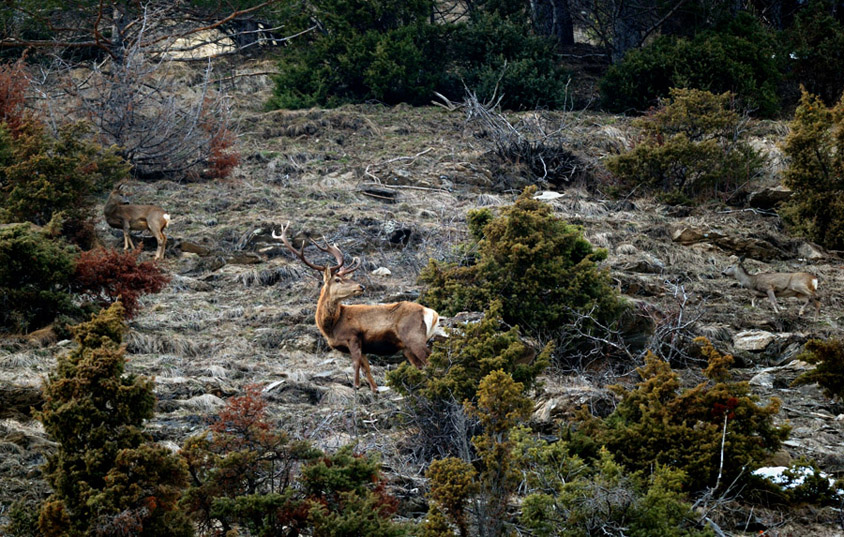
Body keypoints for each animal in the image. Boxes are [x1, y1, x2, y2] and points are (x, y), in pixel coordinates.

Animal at [276, 223, 446, 394]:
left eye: (344, 278)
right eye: (338, 279)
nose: (361, 286)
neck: (332, 327)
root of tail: (431, 313)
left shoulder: (354, 336)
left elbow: (356, 363)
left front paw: (356, 385)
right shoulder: (363, 347)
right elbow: (367, 368)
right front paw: (375, 389)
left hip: (414, 337)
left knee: (432, 361)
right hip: (406, 347)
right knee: (421, 366)